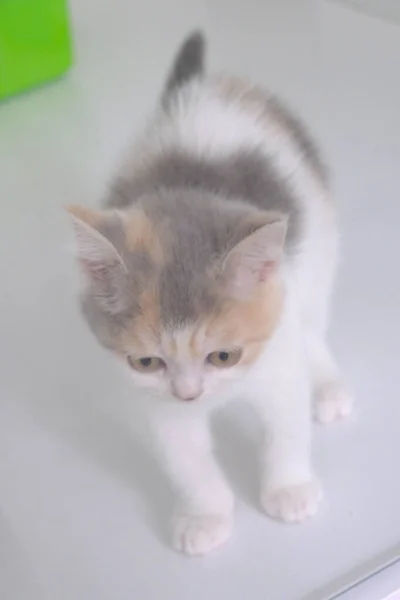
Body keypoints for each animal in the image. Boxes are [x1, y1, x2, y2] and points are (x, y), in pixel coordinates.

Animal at [69, 31, 354, 556]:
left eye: (224, 355)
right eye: (146, 361)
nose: (190, 393)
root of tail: (202, 90)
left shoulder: (278, 351)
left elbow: (284, 425)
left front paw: (289, 489)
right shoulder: (155, 398)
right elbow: (185, 459)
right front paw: (205, 516)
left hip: (319, 244)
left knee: (314, 321)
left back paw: (328, 385)